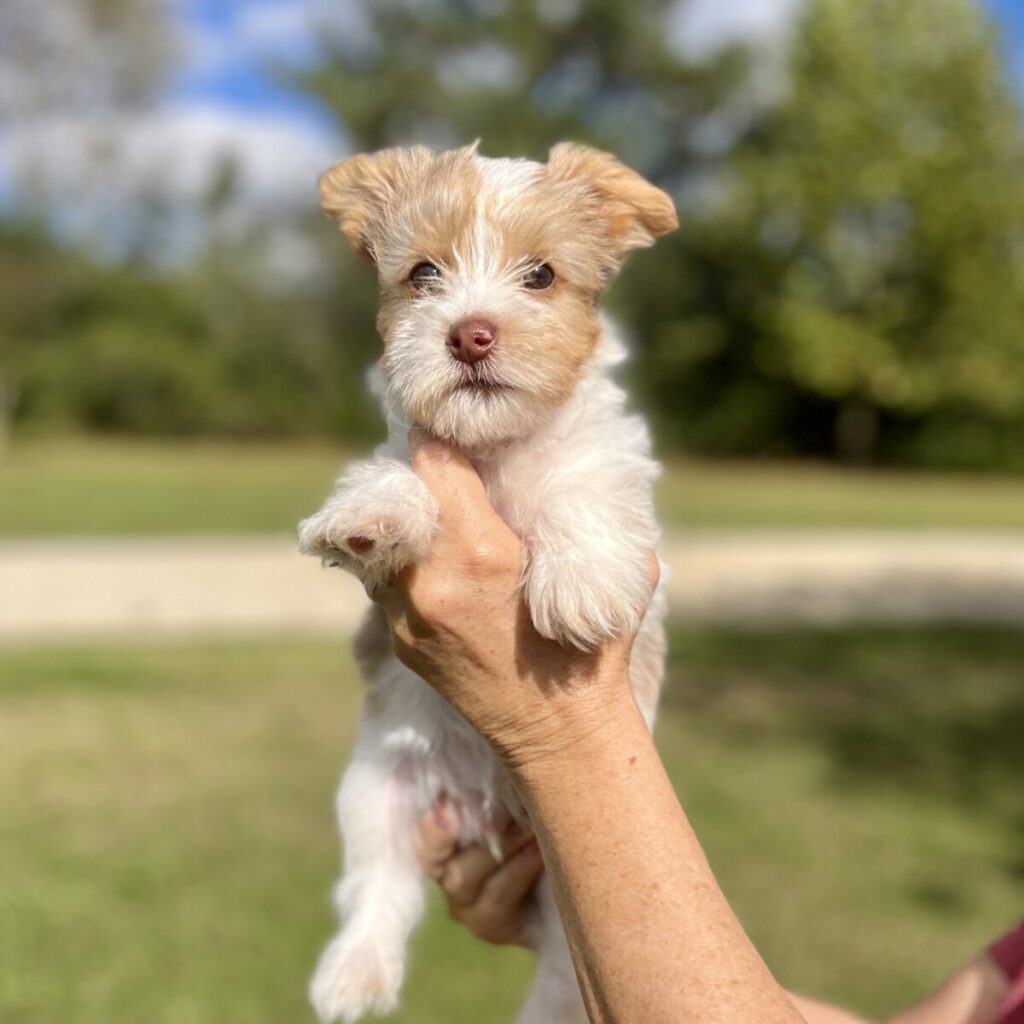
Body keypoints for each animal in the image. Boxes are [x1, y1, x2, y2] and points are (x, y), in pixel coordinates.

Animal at [299, 142, 675, 1024]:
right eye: (423, 273)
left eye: (540, 275)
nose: (470, 334)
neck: (495, 451)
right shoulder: (413, 447)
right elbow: (397, 472)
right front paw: (371, 516)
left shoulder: (608, 464)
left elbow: (582, 480)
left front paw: (580, 582)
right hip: (374, 793)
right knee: (379, 890)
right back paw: (352, 974)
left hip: (570, 880)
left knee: (564, 977)